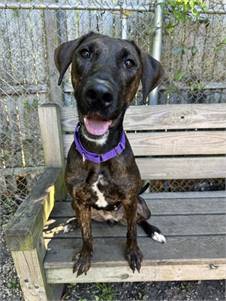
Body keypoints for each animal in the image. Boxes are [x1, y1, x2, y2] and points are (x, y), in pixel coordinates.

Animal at [54, 31, 166, 276]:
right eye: (85, 52)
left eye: (129, 62)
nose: (98, 94)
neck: (99, 152)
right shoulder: (79, 200)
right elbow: (87, 235)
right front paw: (85, 256)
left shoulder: (130, 200)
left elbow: (132, 232)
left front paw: (133, 253)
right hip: (76, 205)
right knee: (83, 218)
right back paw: (72, 222)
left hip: (141, 204)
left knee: (140, 221)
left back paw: (154, 230)